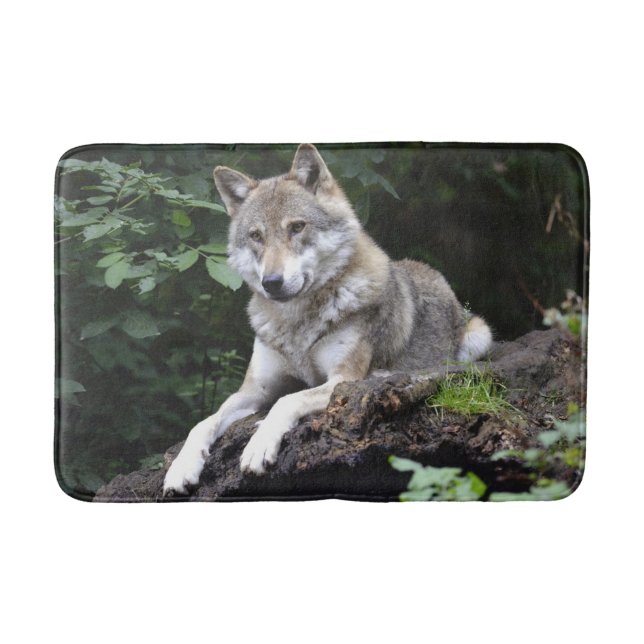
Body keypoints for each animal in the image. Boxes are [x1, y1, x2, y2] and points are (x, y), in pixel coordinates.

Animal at [163, 144, 492, 495]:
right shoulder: (254, 390)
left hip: (478, 336)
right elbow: (203, 423)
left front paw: (258, 445)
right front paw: (181, 468)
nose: (271, 282)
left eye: (297, 227)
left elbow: (287, 400)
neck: (297, 324)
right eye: (256, 236)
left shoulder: (340, 379)